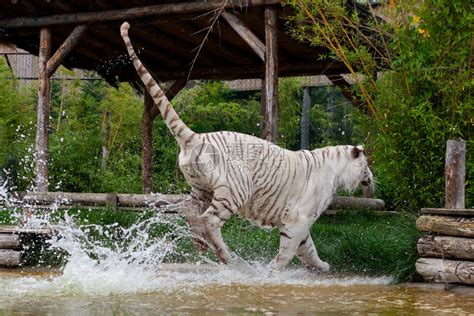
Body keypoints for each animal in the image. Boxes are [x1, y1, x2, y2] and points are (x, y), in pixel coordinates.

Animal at [120, 22, 372, 272]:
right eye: (366, 164)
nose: (371, 177)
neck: (337, 170)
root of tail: (196, 137)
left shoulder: (302, 223)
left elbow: (308, 249)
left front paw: (322, 266)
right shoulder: (297, 218)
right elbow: (290, 250)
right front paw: (272, 270)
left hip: (202, 188)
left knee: (188, 209)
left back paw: (201, 244)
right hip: (235, 189)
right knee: (209, 220)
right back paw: (226, 256)